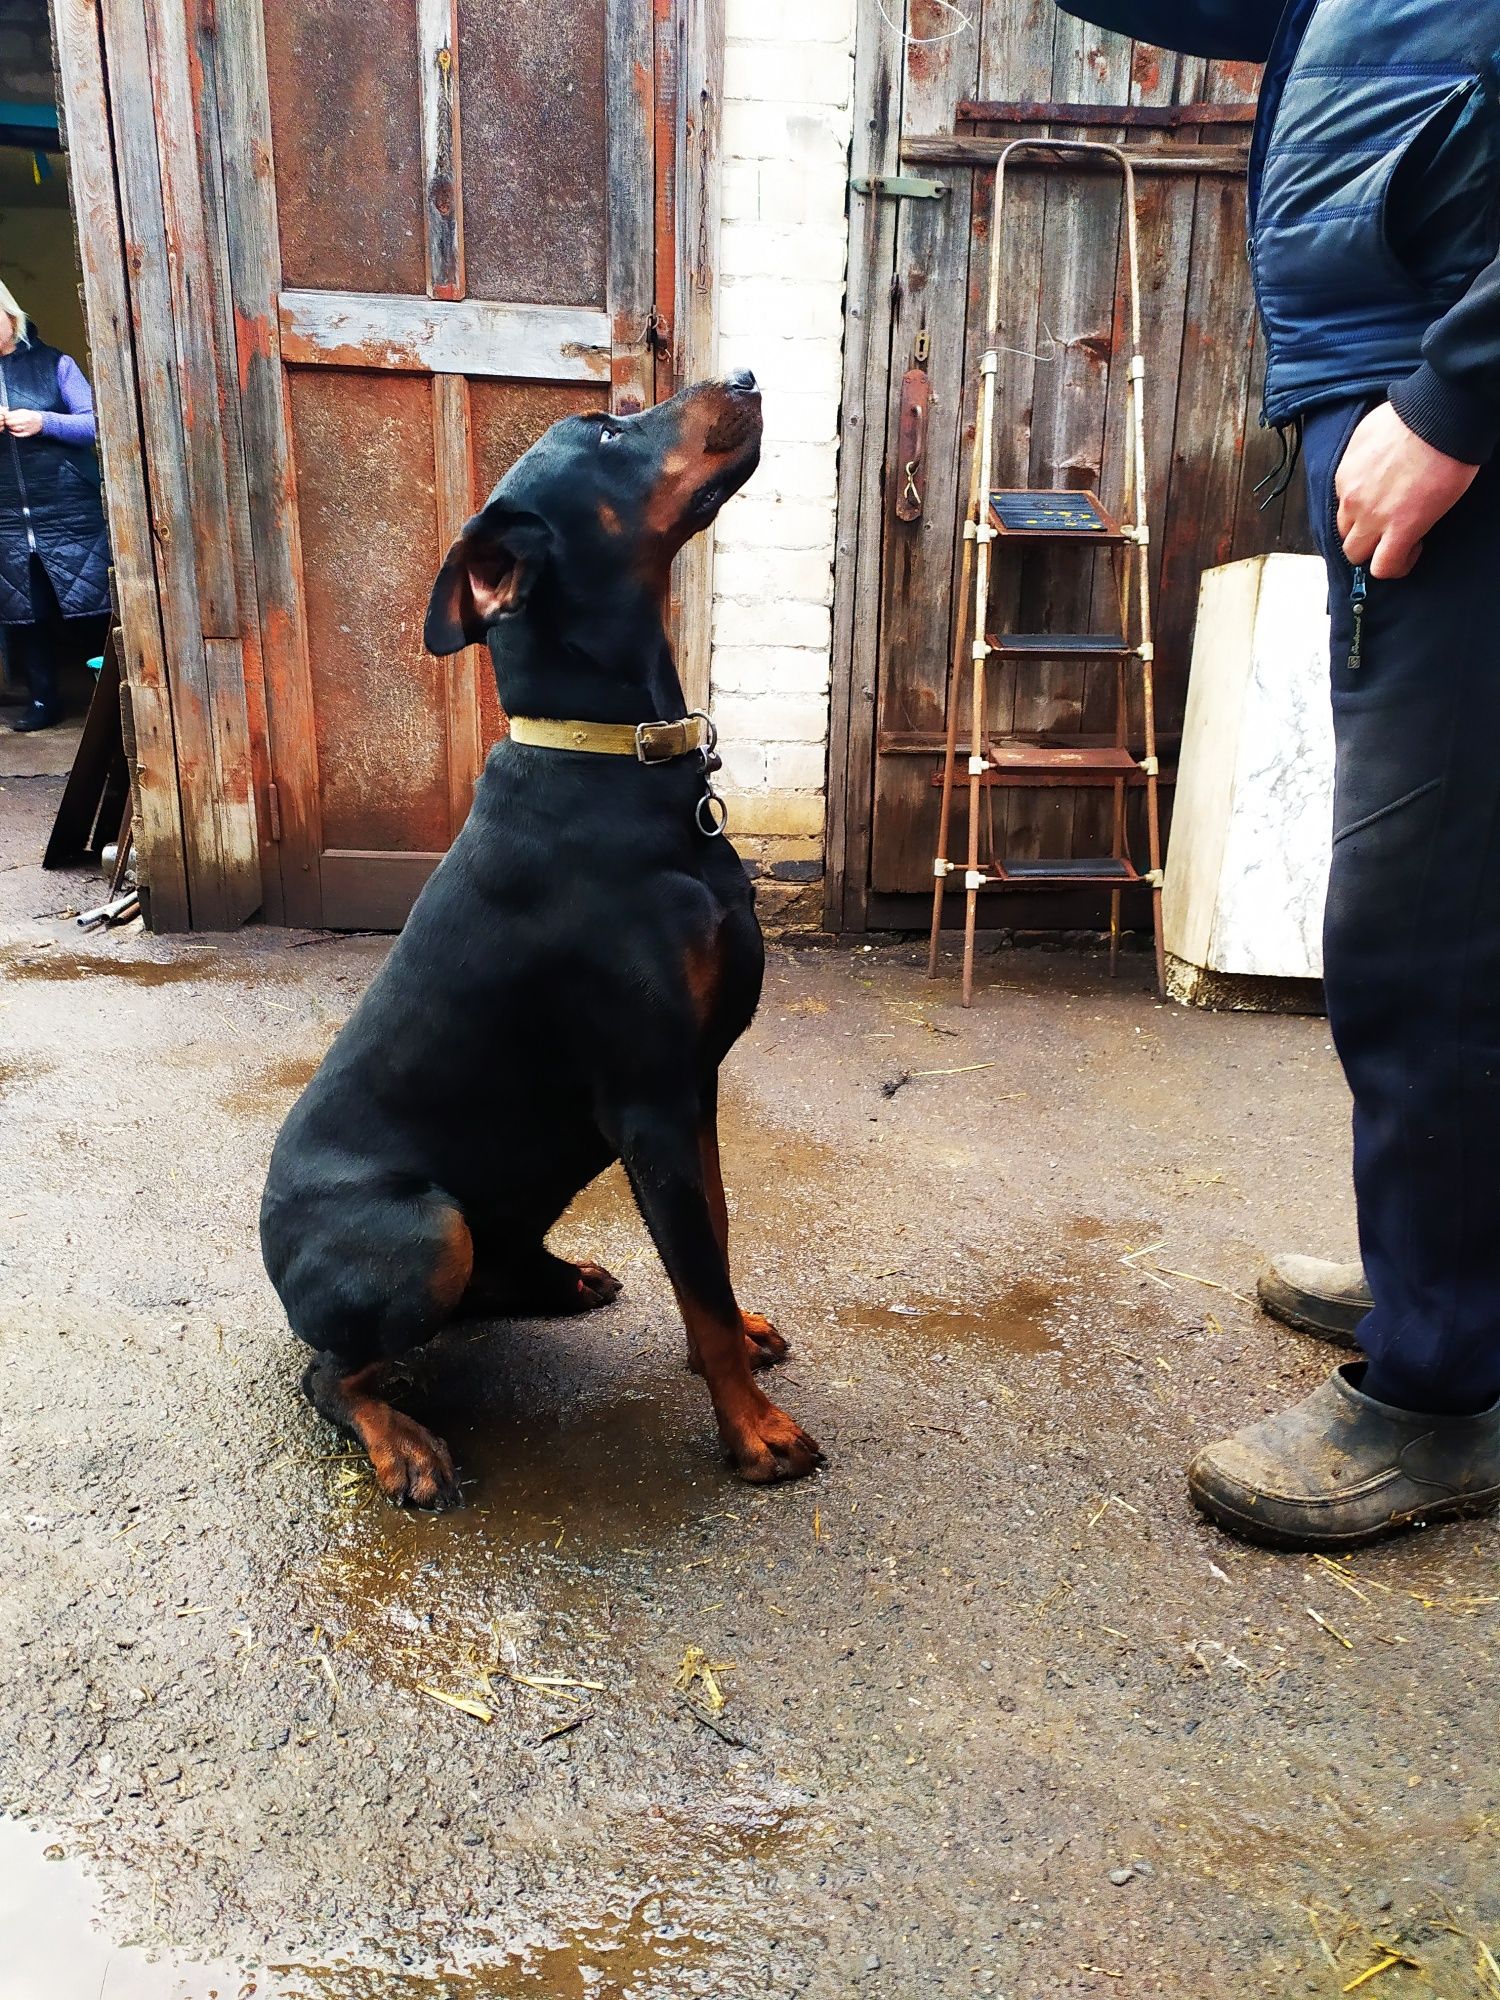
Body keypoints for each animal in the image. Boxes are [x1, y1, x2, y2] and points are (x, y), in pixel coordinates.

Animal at [262, 372, 824, 1504]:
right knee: (331, 1370)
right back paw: (404, 1445)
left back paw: (561, 1277)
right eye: (605, 432)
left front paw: (739, 1343)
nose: (745, 380)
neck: (614, 762)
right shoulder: (649, 1094)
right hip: (425, 1228)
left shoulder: (695, 1086)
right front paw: (754, 1431)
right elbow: (697, 1270)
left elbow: (713, 1245)